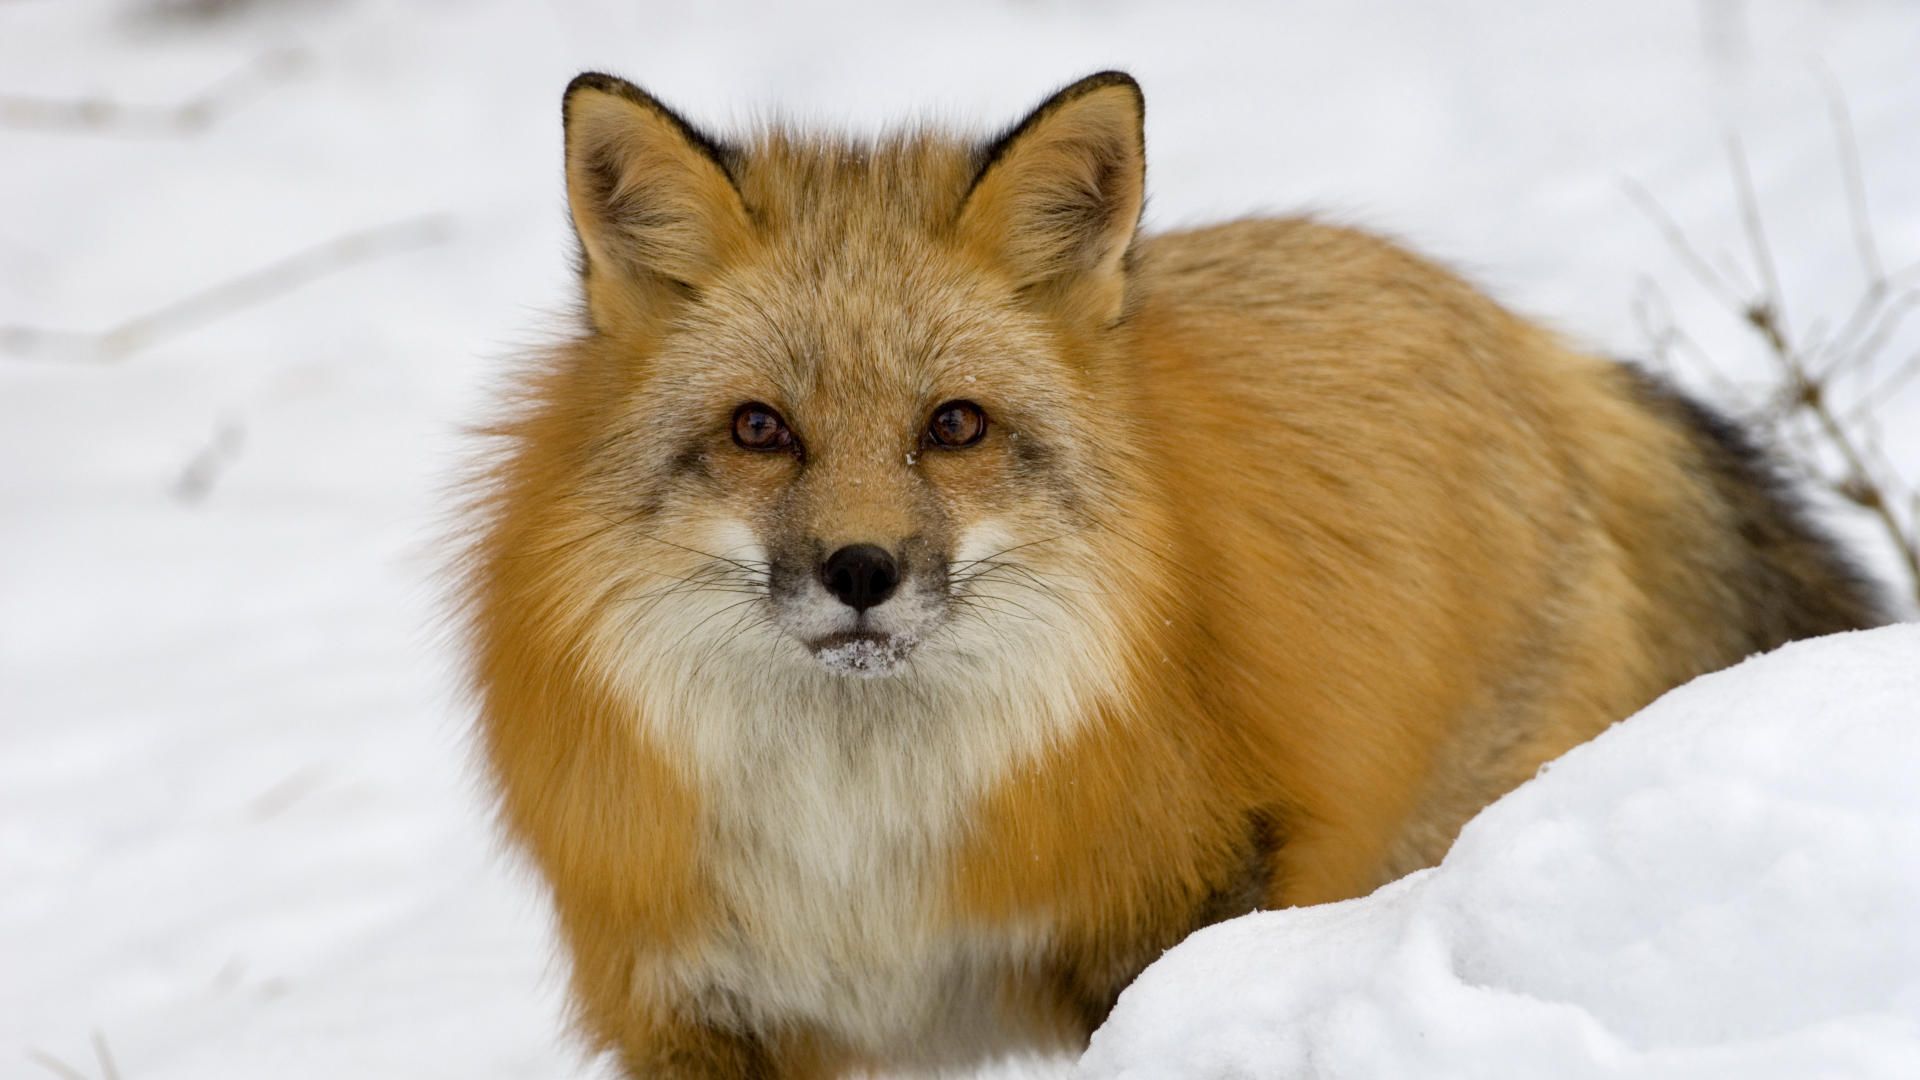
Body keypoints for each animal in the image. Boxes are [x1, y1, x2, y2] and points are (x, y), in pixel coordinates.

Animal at [456, 70, 1887, 1077]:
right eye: (761, 429)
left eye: (954, 426)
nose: (862, 570)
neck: (860, 850)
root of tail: (1523, 338)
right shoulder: (698, 1003)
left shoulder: (1171, 909)